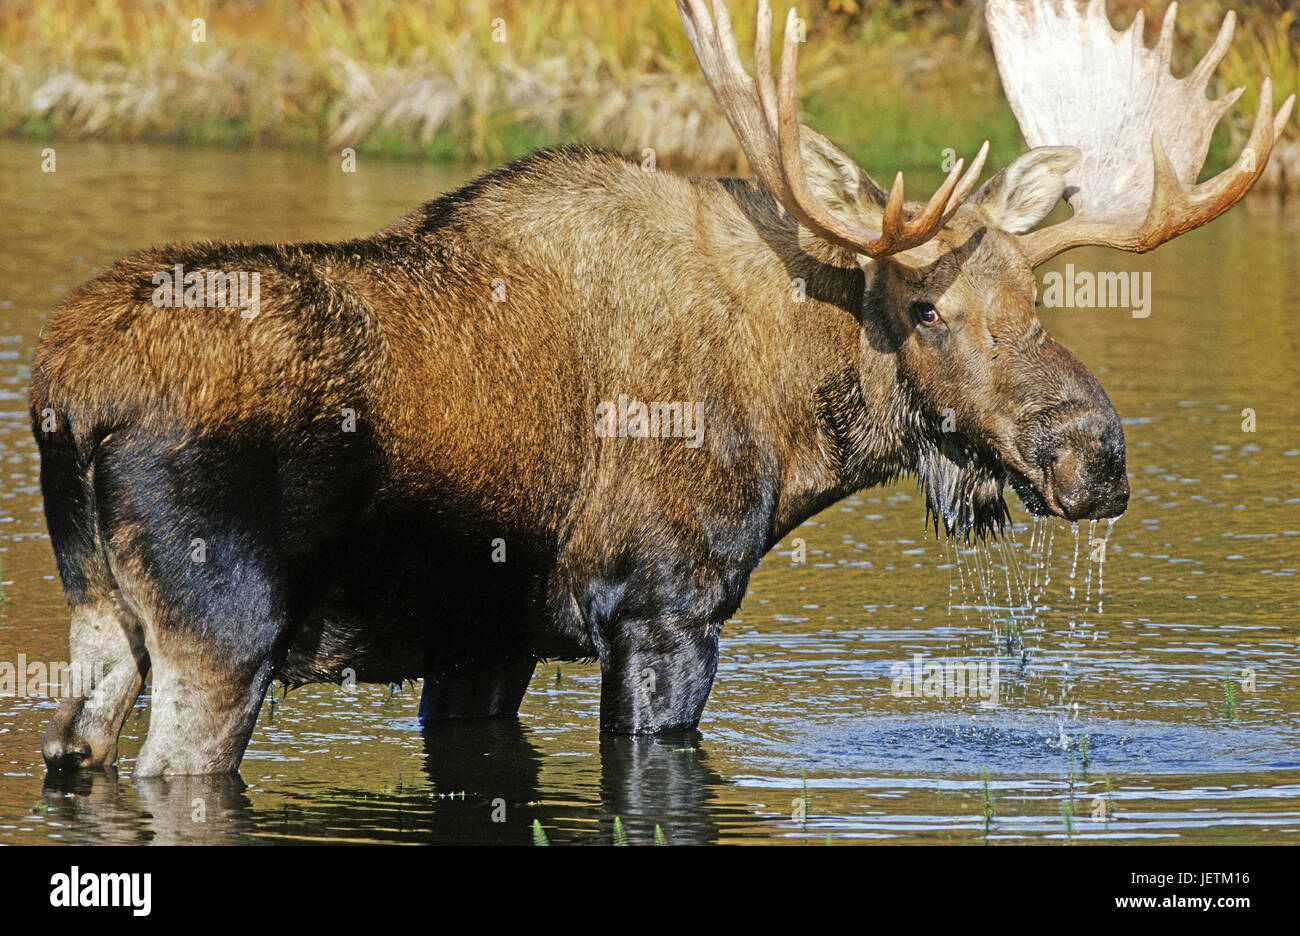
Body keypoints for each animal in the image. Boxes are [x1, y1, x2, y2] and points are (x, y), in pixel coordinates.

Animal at [30, 0, 1289, 774]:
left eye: (1038, 297)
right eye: (927, 309)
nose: (1096, 455)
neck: (792, 435)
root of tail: (66, 388)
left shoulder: (487, 639)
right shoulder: (663, 607)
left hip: (98, 613)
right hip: (222, 625)